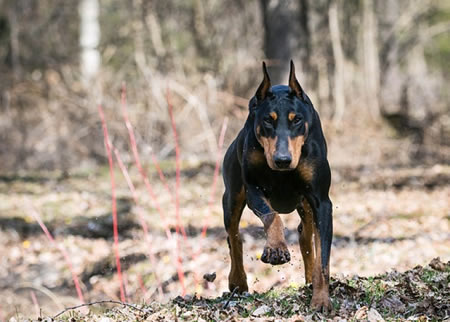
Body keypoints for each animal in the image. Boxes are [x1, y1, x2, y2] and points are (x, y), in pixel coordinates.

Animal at [222, 59, 332, 310]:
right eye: (267, 120)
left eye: (297, 119)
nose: (283, 160)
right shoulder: (254, 189)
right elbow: (271, 216)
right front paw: (276, 248)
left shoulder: (322, 201)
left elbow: (323, 256)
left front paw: (321, 299)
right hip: (231, 197)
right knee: (234, 237)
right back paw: (238, 281)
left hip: (305, 203)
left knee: (306, 235)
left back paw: (310, 279)